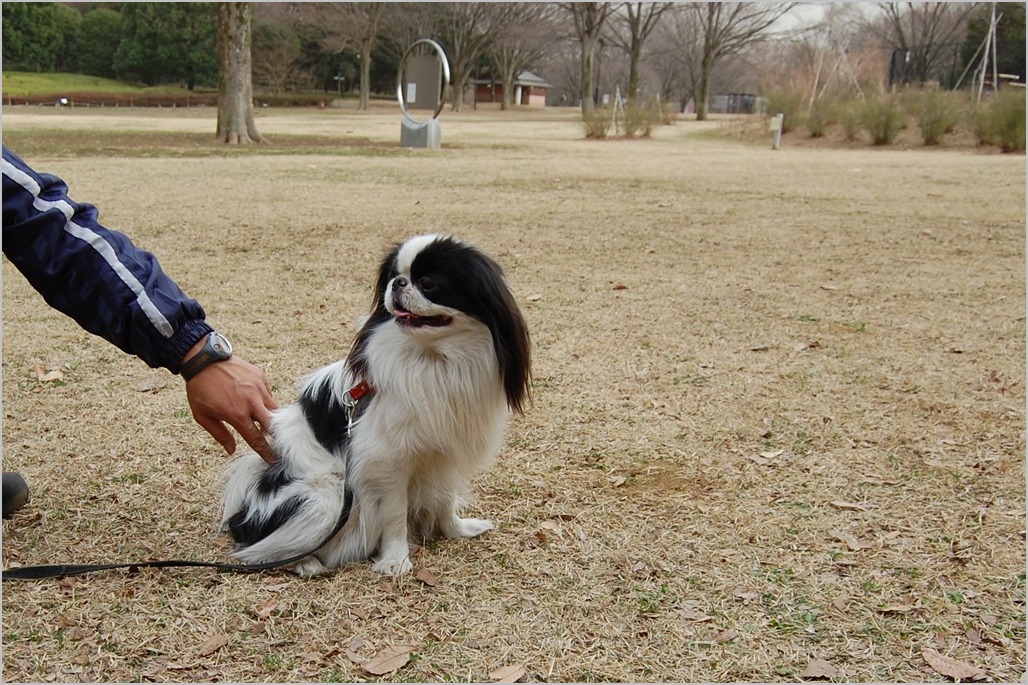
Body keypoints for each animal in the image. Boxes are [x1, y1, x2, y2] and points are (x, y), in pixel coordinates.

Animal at [222, 234, 534, 575]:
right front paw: (396, 561)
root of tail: (245, 509)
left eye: (429, 283)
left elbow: (445, 497)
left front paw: (456, 530)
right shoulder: (389, 460)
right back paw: (306, 563)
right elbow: (396, 513)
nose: (397, 283)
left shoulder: (442, 453)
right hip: (328, 496)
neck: (434, 359)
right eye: (392, 277)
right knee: (259, 549)